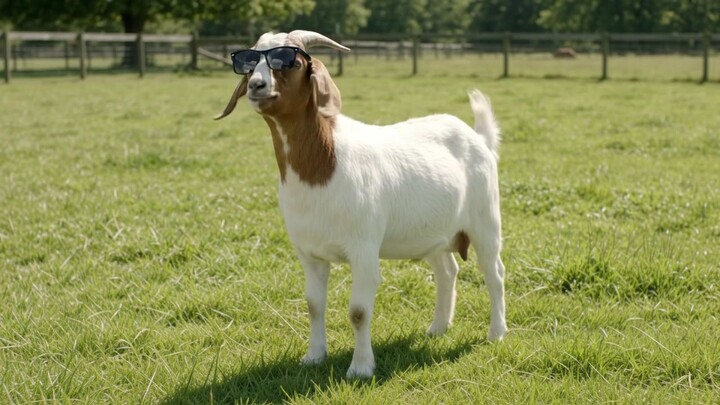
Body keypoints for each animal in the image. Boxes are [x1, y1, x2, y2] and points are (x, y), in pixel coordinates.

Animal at [215, 30, 507, 378]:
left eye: (292, 62)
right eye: (247, 64)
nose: (257, 86)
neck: (323, 167)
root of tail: (479, 138)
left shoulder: (364, 249)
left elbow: (358, 311)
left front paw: (361, 368)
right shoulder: (309, 253)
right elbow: (314, 305)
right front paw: (314, 356)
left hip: (486, 220)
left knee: (494, 273)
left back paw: (496, 333)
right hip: (433, 232)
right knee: (447, 271)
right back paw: (438, 327)